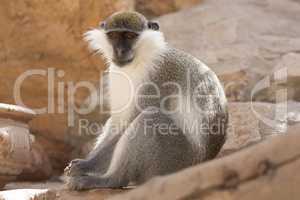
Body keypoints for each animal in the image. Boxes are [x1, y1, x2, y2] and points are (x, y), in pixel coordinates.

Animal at [63, 11, 227, 191]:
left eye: (129, 35)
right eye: (113, 35)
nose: (120, 51)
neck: (140, 60)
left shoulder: (159, 76)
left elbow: (130, 122)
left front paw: (85, 165)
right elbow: (118, 121)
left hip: (175, 162)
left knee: (149, 119)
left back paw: (111, 180)